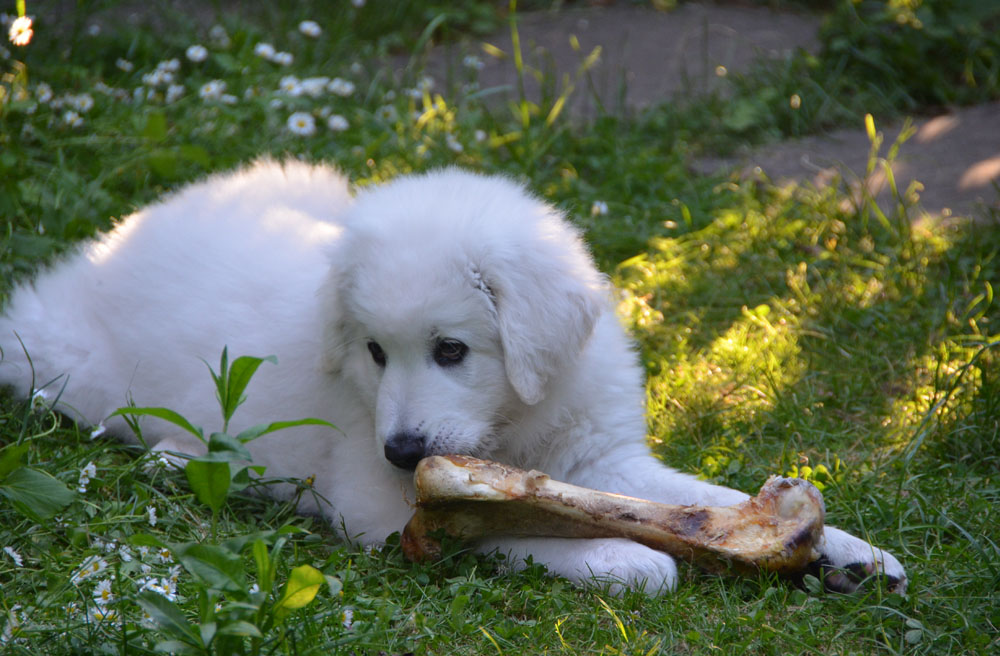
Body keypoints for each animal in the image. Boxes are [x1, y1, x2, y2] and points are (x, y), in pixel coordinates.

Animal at [1, 160, 908, 596]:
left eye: (450, 351)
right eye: (373, 352)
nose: (404, 451)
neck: (513, 422)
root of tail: (112, 240)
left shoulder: (604, 461)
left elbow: (701, 500)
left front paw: (848, 549)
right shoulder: (379, 508)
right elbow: (512, 533)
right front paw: (623, 560)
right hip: (72, 372)